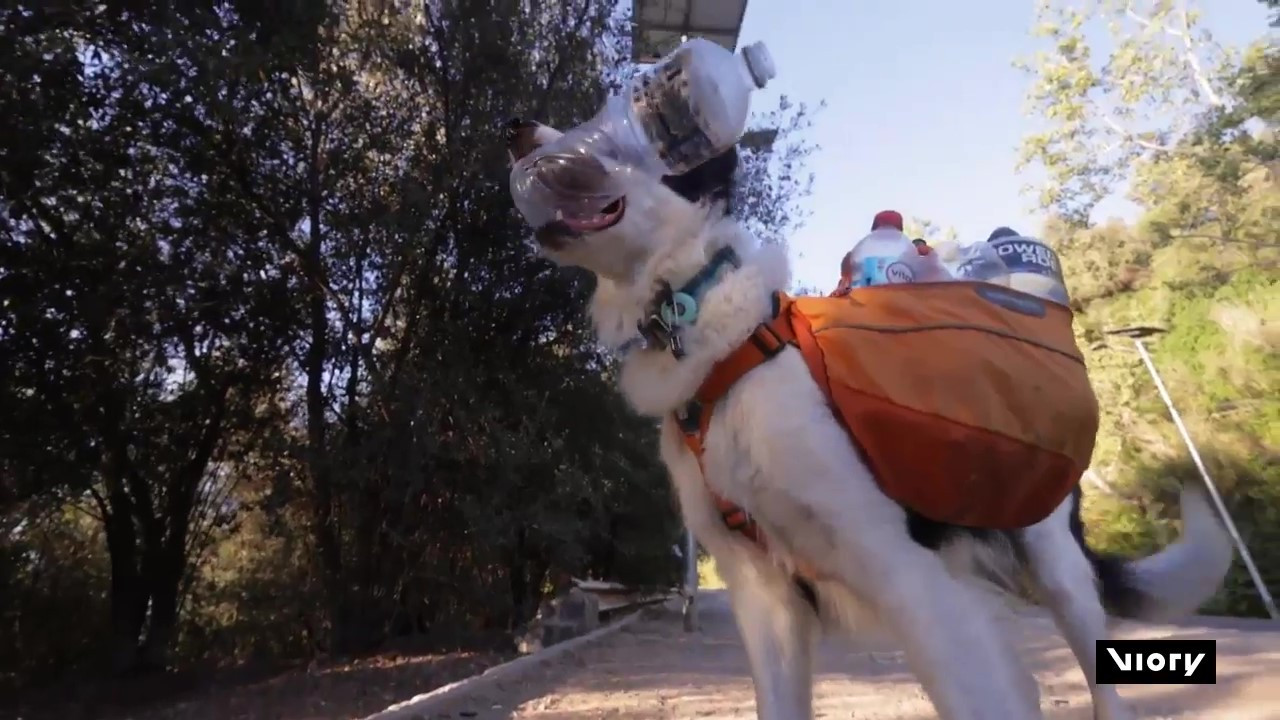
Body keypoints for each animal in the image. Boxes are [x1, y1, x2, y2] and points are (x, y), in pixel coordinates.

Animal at [504, 119, 1233, 717]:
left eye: (620, 134)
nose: (516, 132)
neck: (715, 337)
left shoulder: (903, 570)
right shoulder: (764, 596)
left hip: (1054, 563)